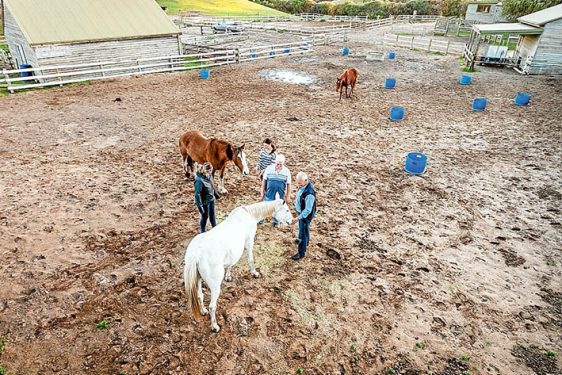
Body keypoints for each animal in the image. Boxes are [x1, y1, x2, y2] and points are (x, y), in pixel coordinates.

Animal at [183, 195, 290, 334]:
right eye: (287, 210)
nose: (291, 221)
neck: (249, 214)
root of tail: (196, 254)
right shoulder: (249, 242)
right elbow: (250, 259)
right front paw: (255, 273)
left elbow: (231, 264)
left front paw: (228, 276)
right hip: (215, 286)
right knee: (212, 306)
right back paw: (215, 326)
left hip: (198, 280)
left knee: (200, 296)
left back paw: (202, 311)